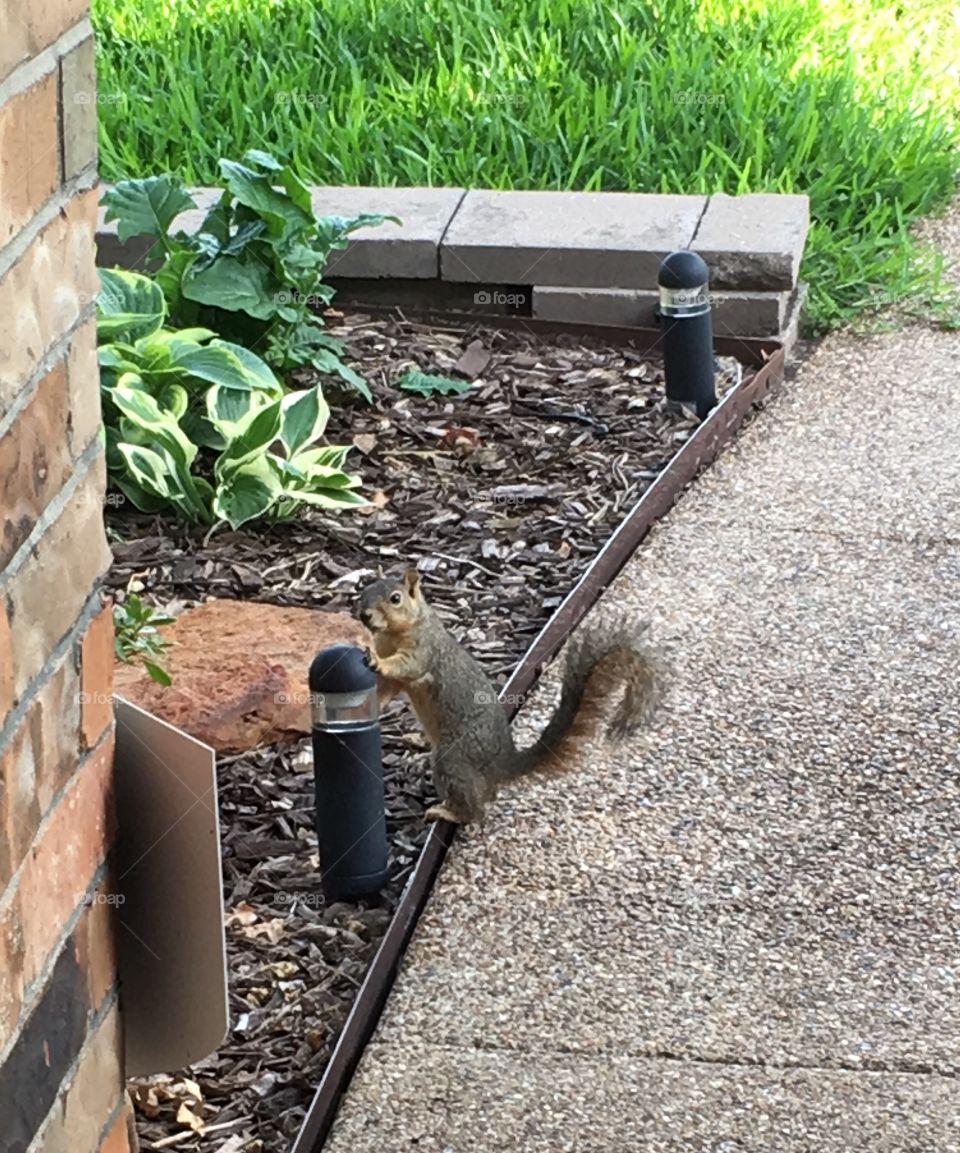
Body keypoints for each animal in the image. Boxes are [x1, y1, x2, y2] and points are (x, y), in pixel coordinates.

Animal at [358, 568, 660, 825]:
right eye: (365, 590)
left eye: (395, 599)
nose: (364, 615)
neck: (395, 632)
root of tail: (502, 762)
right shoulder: (395, 674)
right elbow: (388, 687)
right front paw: (376, 704)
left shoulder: (424, 649)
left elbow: (408, 665)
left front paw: (377, 661)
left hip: (453, 758)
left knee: (476, 811)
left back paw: (448, 812)